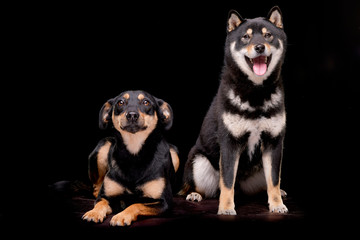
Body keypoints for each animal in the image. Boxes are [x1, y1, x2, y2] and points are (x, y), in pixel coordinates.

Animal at [84, 90, 180, 227]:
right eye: (120, 102)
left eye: (146, 102)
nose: (132, 115)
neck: (134, 155)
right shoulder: (105, 197)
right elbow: (100, 203)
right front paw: (93, 213)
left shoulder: (163, 202)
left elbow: (137, 204)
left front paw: (122, 215)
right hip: (104, 145)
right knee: (96, 188)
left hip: (174, 152)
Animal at [180, 6, 290, 215]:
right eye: (246, 37)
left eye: (268, 36)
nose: (259, 47)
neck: (255, 93)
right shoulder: (230, 142)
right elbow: (227, 180)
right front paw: (226, 208)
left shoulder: (273, 143)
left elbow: (274, 179)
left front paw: (277, 204)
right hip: (199, 163)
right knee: (194, 188)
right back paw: (194, 195)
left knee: (267, 184)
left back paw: (280, 191)